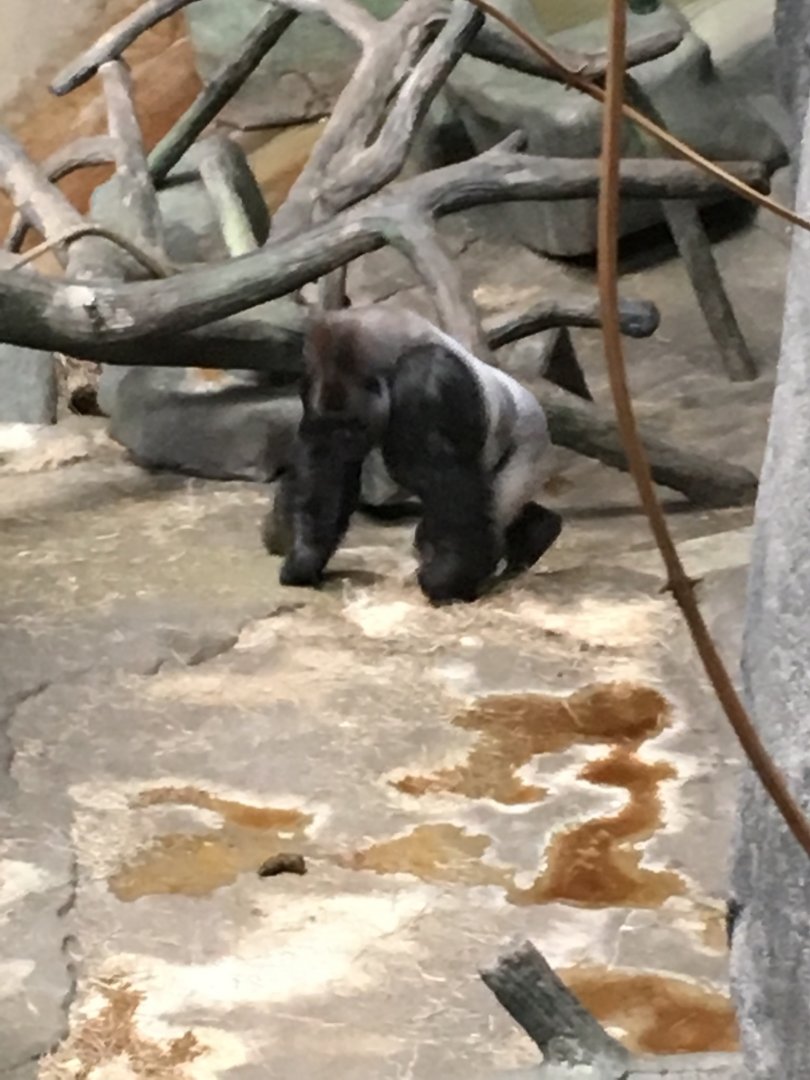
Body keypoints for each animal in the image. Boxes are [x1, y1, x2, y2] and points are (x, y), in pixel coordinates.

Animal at [263, 305, 562, 604]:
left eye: (354, 424)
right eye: (336, 425)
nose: (345, 441)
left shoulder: (426, 376)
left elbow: (445, 482)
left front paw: (445, 579)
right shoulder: (314, 380)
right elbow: (325, 467)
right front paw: (306, 556)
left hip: (530, 444)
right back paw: (536, 532)